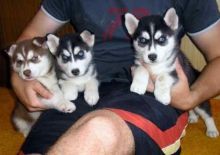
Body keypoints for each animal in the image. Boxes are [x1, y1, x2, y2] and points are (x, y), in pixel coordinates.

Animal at [124, 7, 219, 137]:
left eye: (162, 39)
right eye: (143, 40)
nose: (152, 56)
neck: (156, 65)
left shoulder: (175, 71)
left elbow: (162, 77)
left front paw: (161, 95)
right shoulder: (138, 64)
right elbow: (141, 69)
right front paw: (138, 86)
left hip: (199, 101)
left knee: (206, 113)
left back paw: (212, 129)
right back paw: (192, 116)